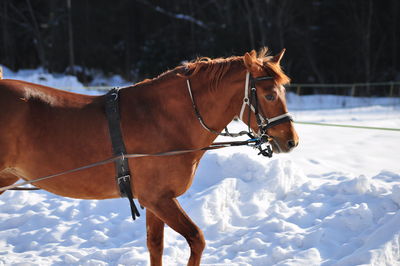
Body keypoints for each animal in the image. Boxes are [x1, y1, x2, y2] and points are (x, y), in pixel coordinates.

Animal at [0, 48, 298, 264]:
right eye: (269, 95)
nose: (291, 141)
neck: (162, 118)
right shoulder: (158, 199)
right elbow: (197, 239)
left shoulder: (156, 203)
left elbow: (156, 246)